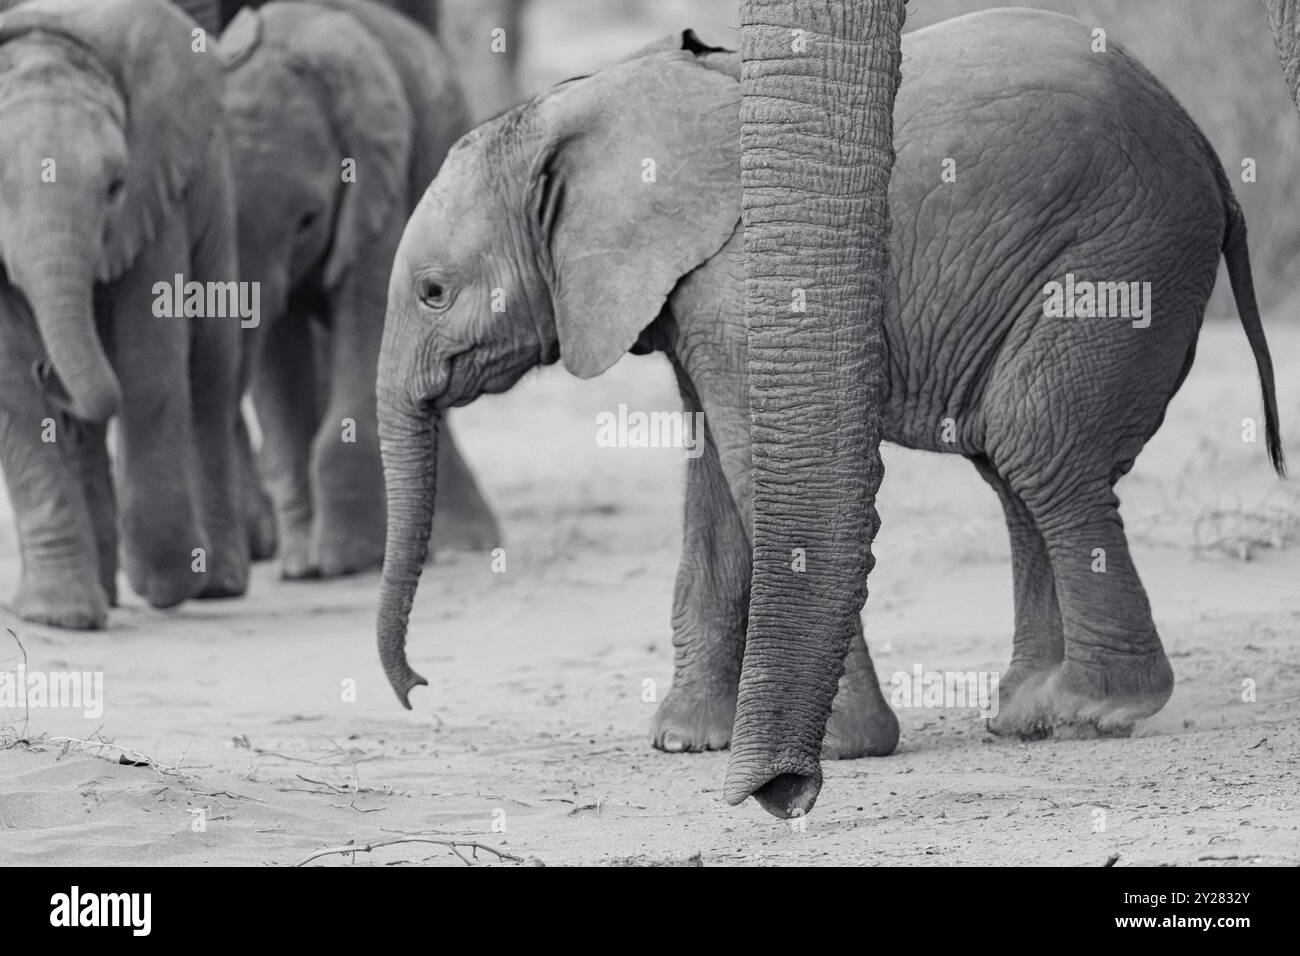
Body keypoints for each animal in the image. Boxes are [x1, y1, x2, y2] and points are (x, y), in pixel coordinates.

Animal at [0, 0, 250, 628]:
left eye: (114, 186)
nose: (49, 371)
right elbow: (11, 388)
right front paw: (59, 617)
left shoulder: (153, 194)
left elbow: (147, 366)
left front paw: (167, 585)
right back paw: (103, 598)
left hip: (214, 187)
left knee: (210, 372)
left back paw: (215, 585)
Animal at [217, 0, 500, 579]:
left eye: (307, 220)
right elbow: (277, 357)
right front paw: (303, 567)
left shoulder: (378, 178)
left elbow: (367, 311)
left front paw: (345, 561)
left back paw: (464, 543)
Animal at [369, 15, 1284, 791]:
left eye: (433, 292)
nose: (419, 687)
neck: (587, 101)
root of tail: (1208, 152)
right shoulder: (691, 300)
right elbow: (713, 488)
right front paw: (686, 742)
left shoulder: (744, 287)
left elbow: (758, 471)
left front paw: (834, 750)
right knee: (1014, 464)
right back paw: (1027, 714)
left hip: (1117, 258)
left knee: (1038, 446)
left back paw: (1096, 709)